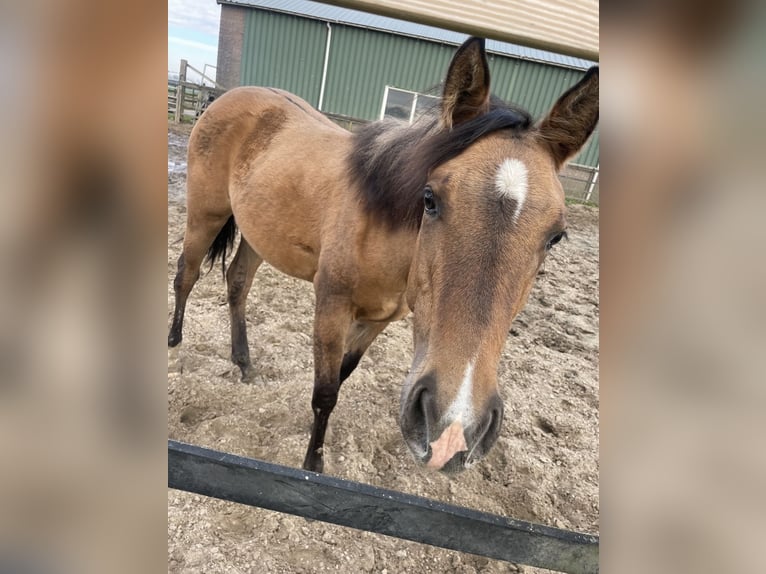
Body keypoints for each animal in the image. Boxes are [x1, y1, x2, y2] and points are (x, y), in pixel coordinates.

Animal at [168, 37, 600, 476]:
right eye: (429, 198)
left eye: (556, 236)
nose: (452, 428)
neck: (382, 225)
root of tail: (228, 97)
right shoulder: (331, 306)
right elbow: (325, 392)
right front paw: (312, 464)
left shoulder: (380, 320)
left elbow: (341, 376)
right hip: (205, 215)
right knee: (186, 275)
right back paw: (174, 347)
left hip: (259, 234)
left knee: (237, 283)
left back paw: (243, 363)